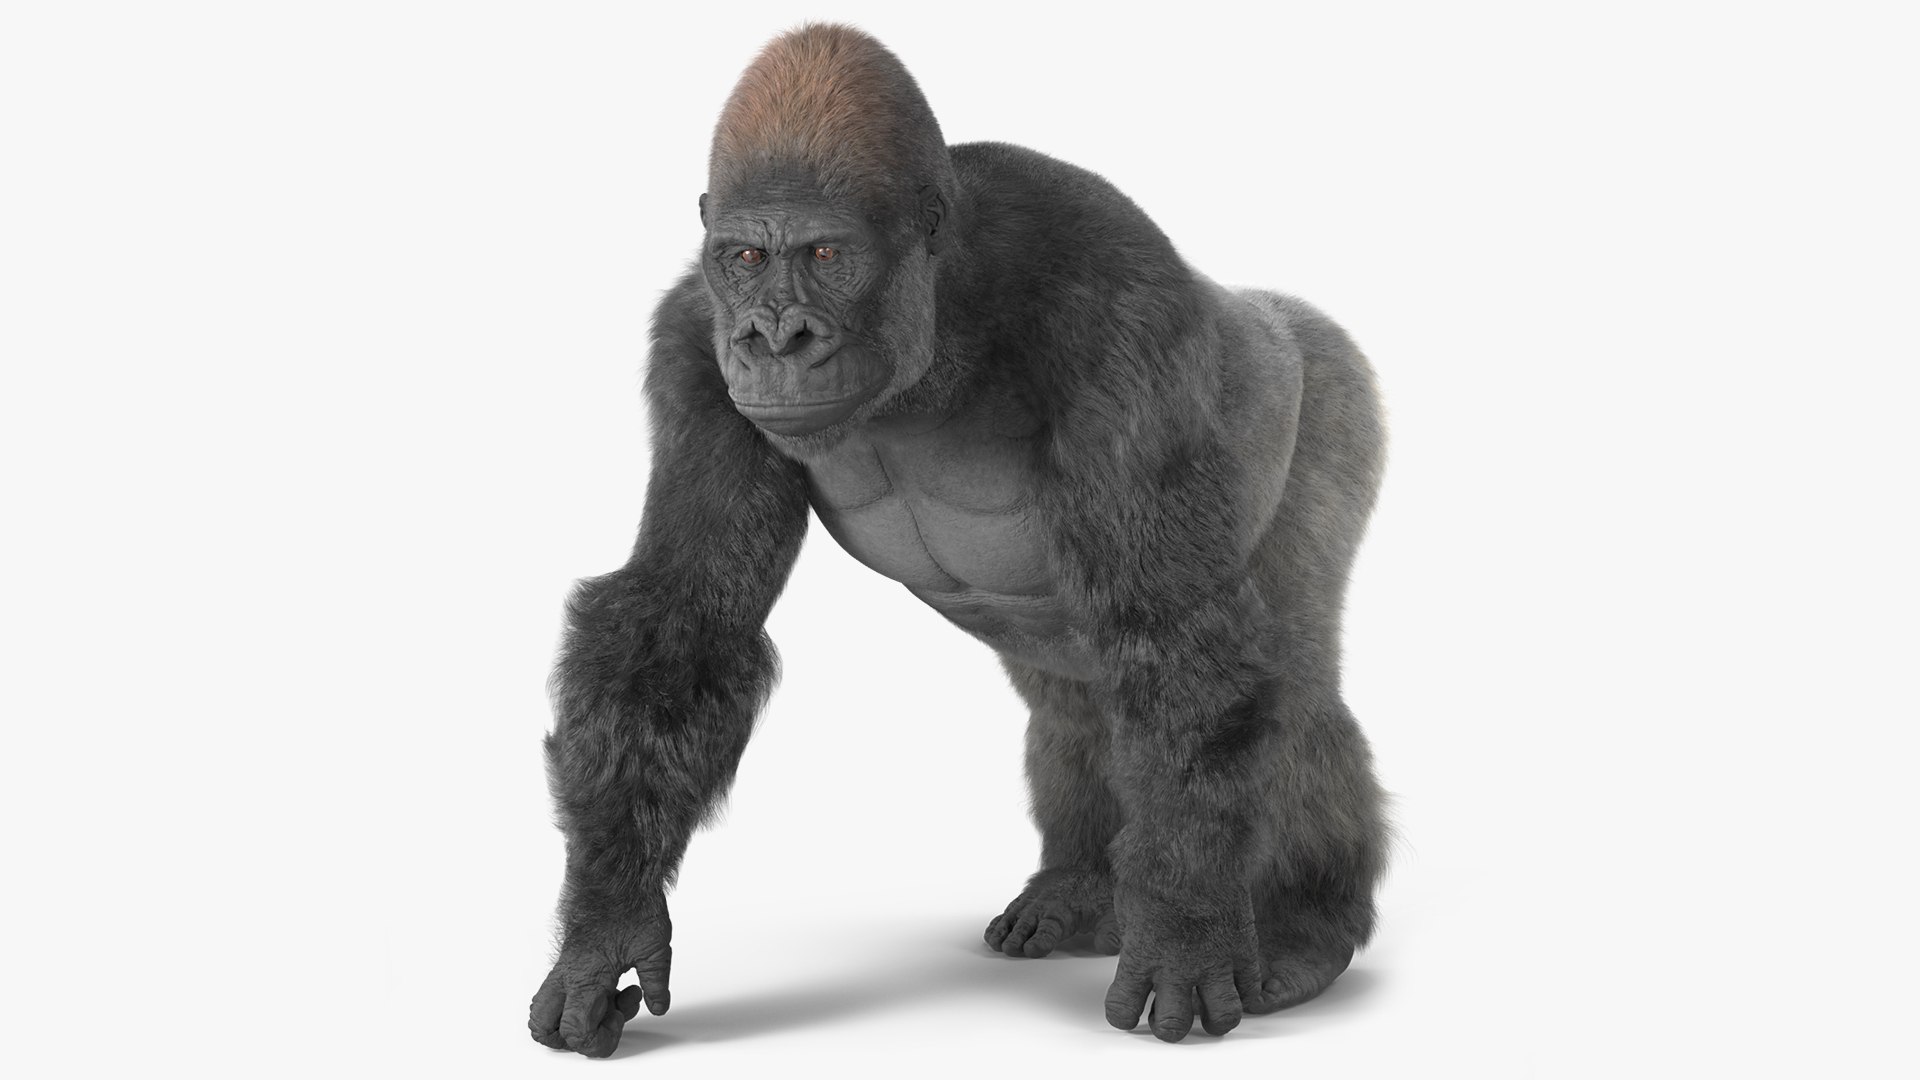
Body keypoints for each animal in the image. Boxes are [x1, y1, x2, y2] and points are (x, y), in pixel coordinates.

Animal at [529, 23, 1388, 1056]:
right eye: (743, 258)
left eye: (826, 252)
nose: (775, 338)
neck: (942, 314)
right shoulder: (695, 343)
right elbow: (682, 619)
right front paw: (608, 922)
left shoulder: (1120, 314)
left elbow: (1174, 627)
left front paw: (1186, 926)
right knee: (1077, 694)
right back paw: (1081, 890)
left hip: (1337, 386)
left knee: (1284, 673)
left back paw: (1303, 927)